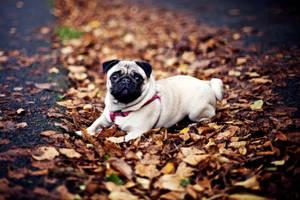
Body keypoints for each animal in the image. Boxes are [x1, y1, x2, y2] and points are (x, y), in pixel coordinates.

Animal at [76, 59, 224, 142]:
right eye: (115, 76)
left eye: (137, 78)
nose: (126, 80)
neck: (123, 108)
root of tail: (207, 83)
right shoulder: (105, 118)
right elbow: (94, 125)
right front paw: (83, 132)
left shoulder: (136, 132)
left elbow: (119, 139)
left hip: (196, 111)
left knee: (209, 116)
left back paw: (193, 124)